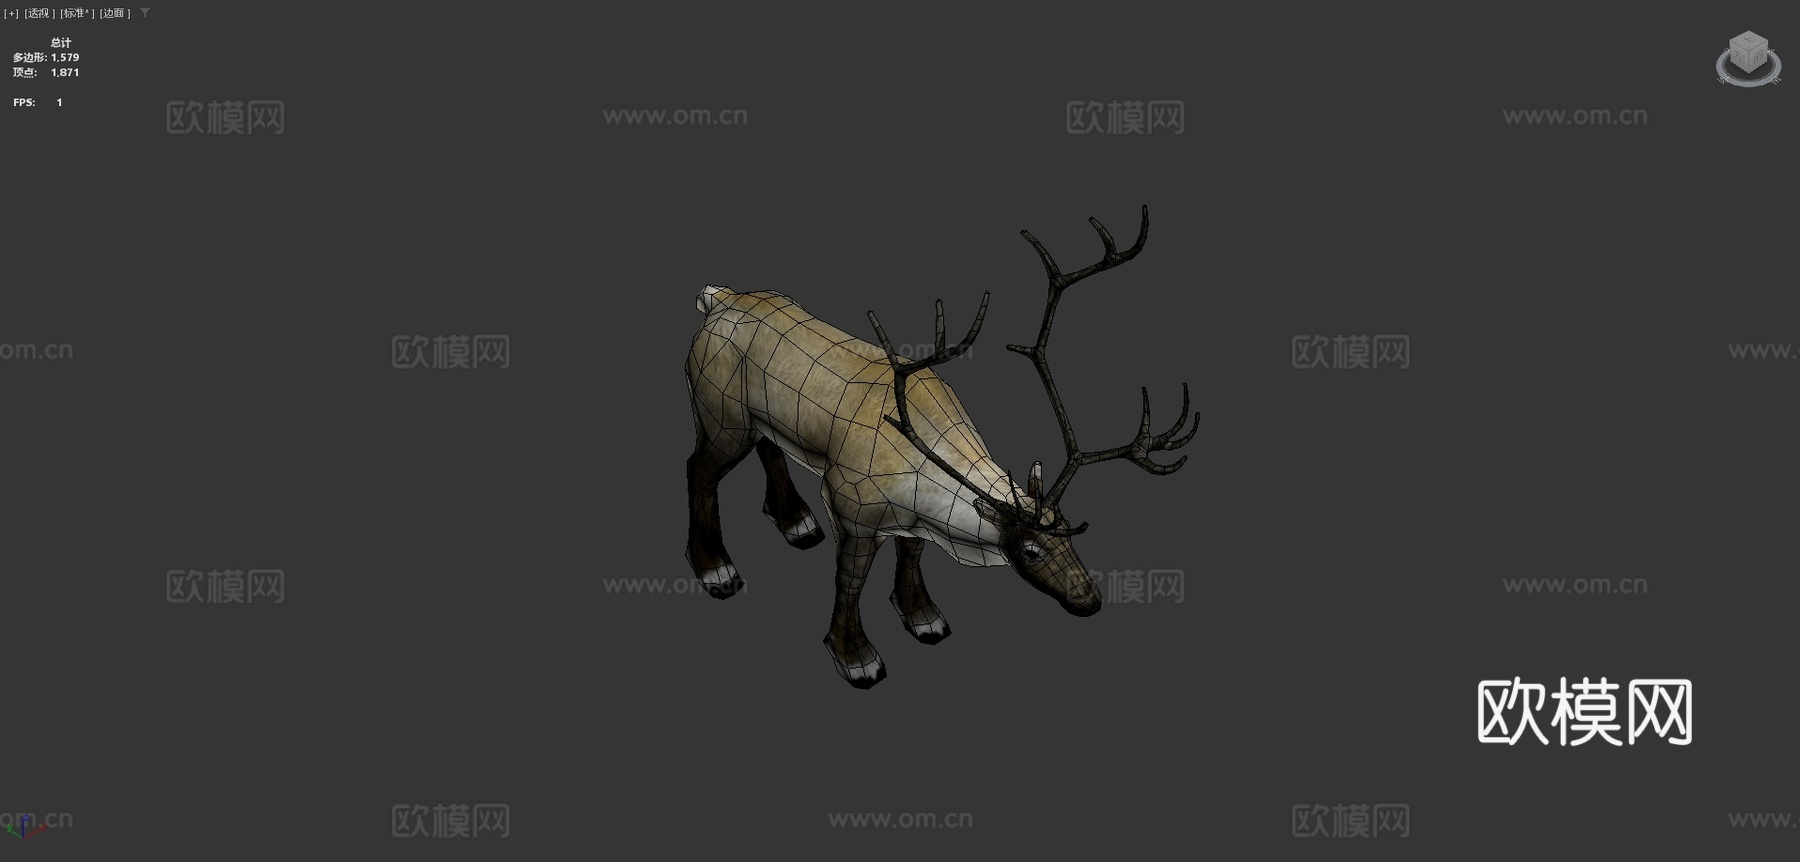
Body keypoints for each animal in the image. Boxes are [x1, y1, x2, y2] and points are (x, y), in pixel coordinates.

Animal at [683, 206, 1198, 689]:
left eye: (1069, 534)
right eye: (1032, 549)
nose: (1089, 600)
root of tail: (717, 298)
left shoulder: (911, 520)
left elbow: (912, 555)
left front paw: (924, 618)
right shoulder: (851, 508)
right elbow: (850, 583)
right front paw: (856, 658)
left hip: (758, 418)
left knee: (768, 448)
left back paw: (797, 524)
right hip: (720, 415)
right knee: (698, 468)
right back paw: (717, 571)